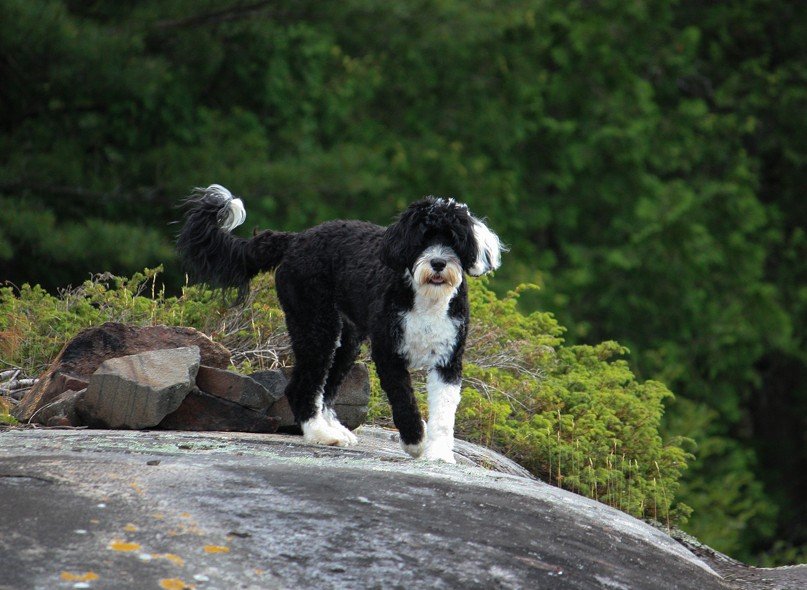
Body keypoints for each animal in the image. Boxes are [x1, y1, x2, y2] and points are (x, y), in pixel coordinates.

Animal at [179, 185, 502, 462]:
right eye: (422, 238)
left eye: (453, 239)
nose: (438, 263)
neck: (426, 299)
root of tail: (296, 239)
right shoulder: (388, 354)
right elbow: (404, 400)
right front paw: (415, 442)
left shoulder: (448, 360)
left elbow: (445, 413)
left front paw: (439, 454)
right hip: (315, 324)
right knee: (302, 387)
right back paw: (321, 435)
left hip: (346, 339)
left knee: (326, 386)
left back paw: (333, 429)